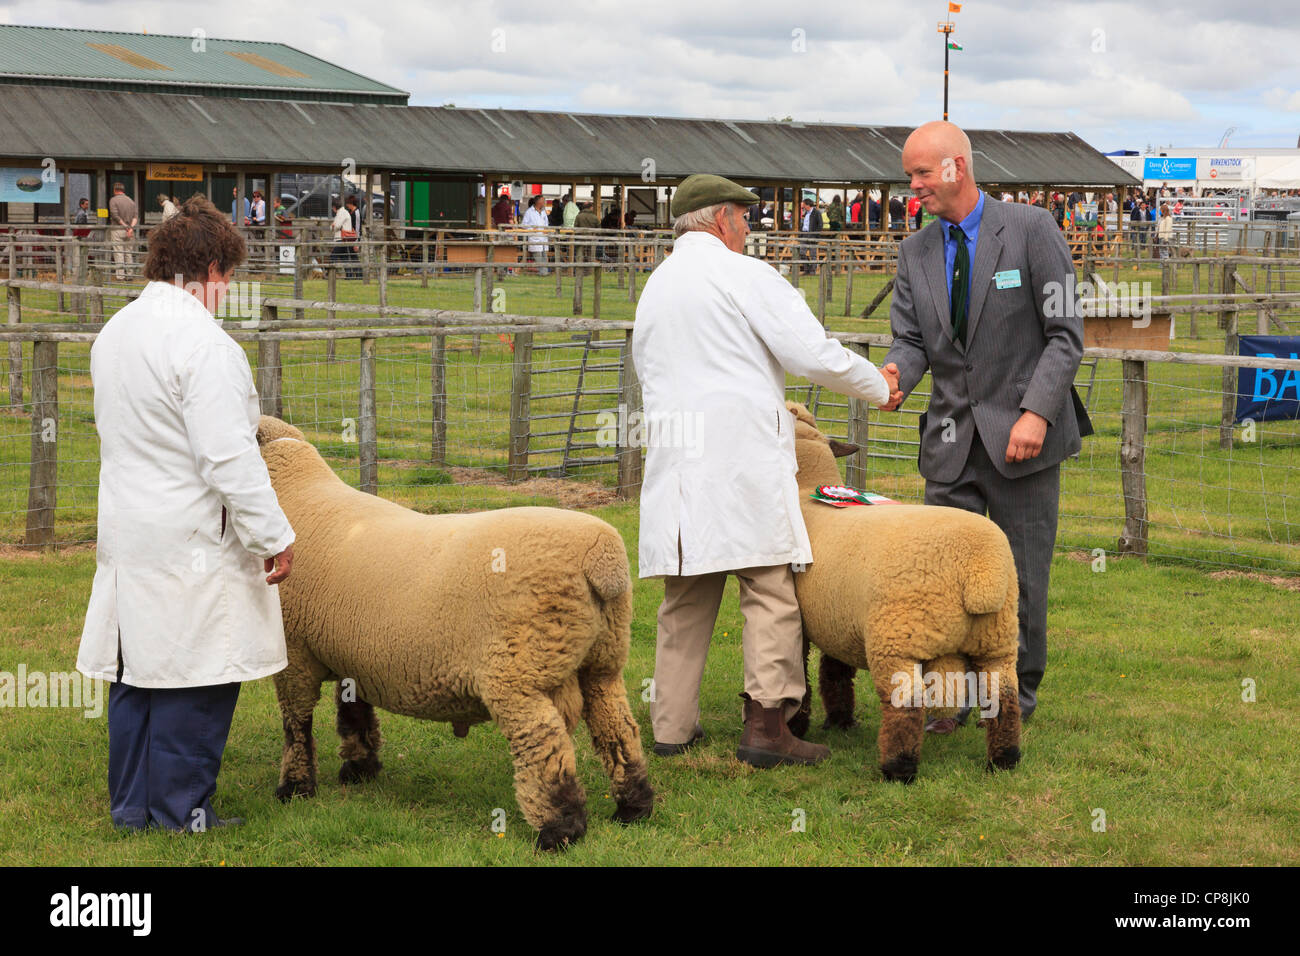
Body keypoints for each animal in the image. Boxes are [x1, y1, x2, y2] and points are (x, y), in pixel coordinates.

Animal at [254, 416, 655, 848]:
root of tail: (602, 558)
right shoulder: (351, 655)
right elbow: (354, 714)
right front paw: (360, 769)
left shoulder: (295, 653)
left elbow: (296, 725)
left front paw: (295, 788)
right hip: (602, 660)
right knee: (617, 726)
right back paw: (633, 807)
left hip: (520, 673)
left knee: (543, 743)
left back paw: (559, 829)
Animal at [780, 400, 1024, 780]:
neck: (807, 496)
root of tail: (979, 568)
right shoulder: (838, 617)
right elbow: (835, 670)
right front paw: (841, 720)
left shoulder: (806, 622)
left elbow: (802, 680)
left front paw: (798, 726)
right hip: (996, 639)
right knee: (1004, 697)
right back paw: (1004, 760)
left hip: (895, 639)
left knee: (906, 704)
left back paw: (898, 768)